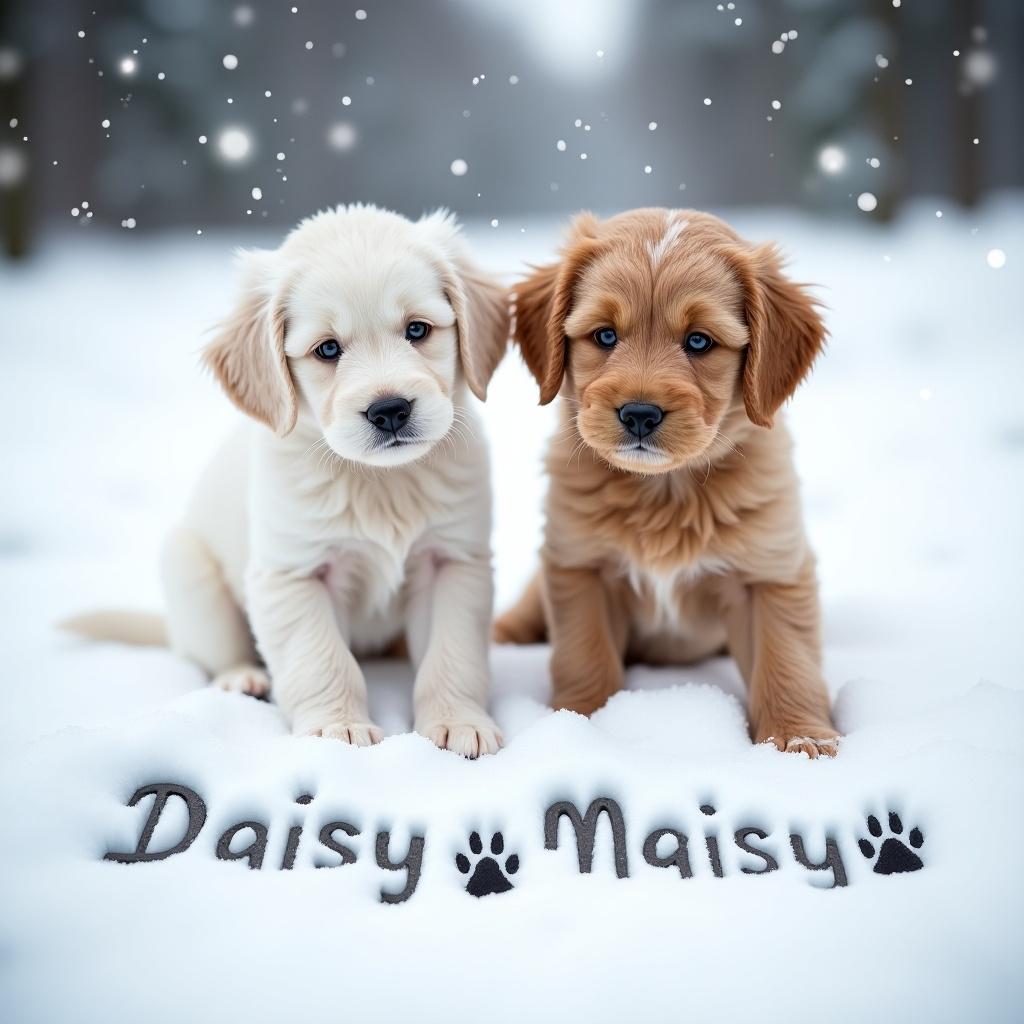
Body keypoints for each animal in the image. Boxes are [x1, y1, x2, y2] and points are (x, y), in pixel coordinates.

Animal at [69, 203, 507, 757]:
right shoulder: (292, 574)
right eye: (327, 349)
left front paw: (456, 721)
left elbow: (453, 654)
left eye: (417, 330)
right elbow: (322, 658)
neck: (378, 482)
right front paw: (336, 728)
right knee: (217, 653)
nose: (389, 410)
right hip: (189, 571)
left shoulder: (452, 561)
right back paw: (243, 678)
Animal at [495, 207, 839, 757]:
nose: (639, 413)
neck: (665, 490)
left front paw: (797, 737)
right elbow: (585, 654)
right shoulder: (580, 567)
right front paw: (578, 724)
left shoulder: (771, 572)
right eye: (605, 336)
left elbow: (786, 660)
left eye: (699, 341)